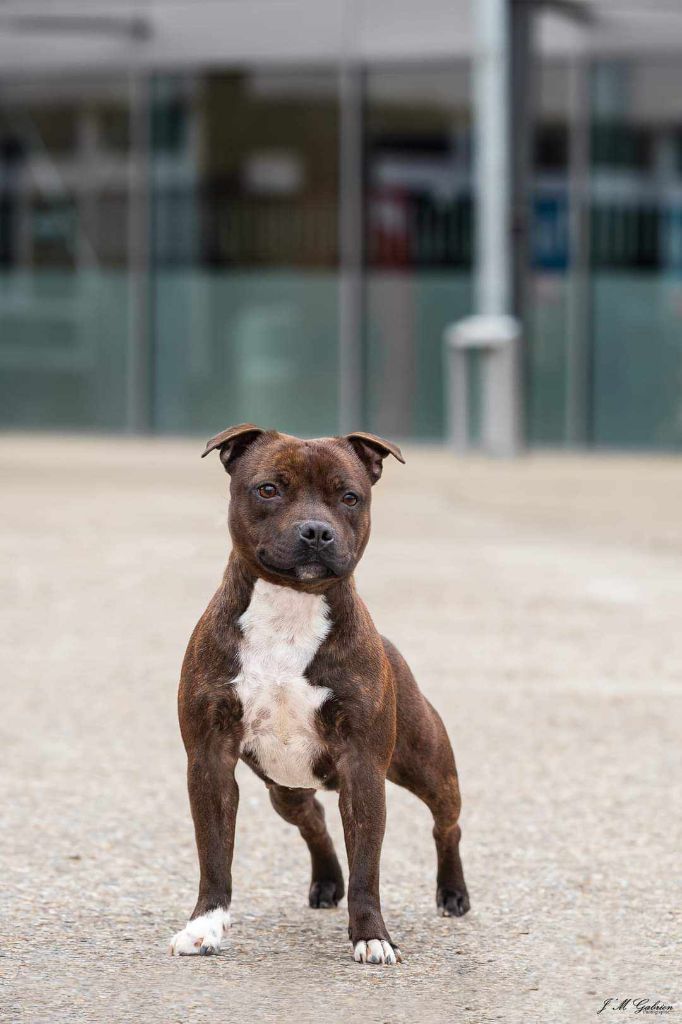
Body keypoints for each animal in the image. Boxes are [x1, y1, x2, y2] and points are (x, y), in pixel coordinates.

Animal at [169, 425, 466, 966]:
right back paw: (328, 882)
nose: (315, 531)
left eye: (349, 497)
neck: (290, 611)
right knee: (315, 820)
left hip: (428, 764)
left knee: (446, 824)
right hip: (285, 787)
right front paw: (205, 927)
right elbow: (214, 855)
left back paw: (452, 893)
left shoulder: (363, 766)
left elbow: (368, 865)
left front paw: (372, 935)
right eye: (268, 489)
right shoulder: (209, 760)